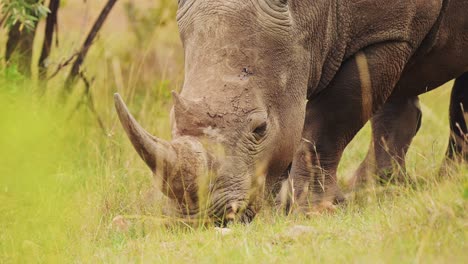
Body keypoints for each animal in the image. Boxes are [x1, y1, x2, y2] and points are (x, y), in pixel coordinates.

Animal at [114, 0, 468, 223]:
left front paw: (314, 209)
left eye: (260, 129)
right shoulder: (388, 34)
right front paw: (286, 204)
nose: (195, 219)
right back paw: (375, 188)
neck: (310, 12)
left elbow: (327, 125)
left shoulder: (385, 33)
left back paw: (447, 181)